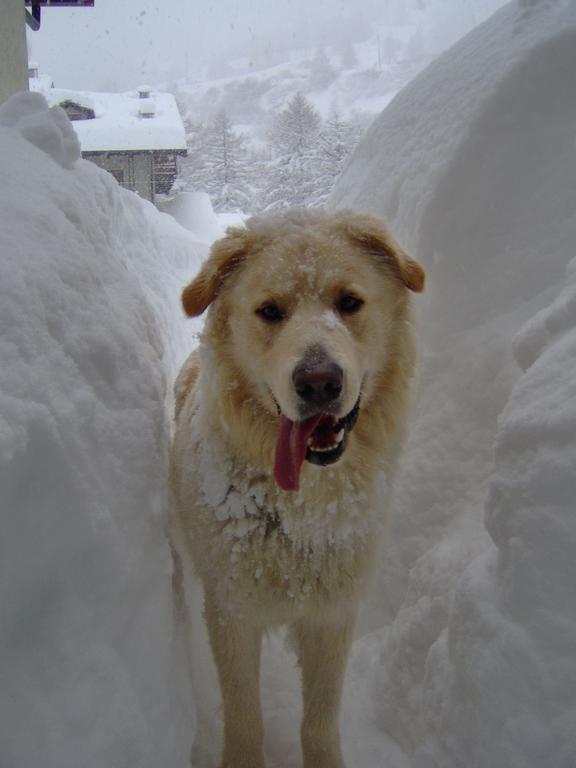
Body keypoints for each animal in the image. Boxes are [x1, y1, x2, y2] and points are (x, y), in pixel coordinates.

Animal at [171, 208, 424, 768]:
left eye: (348, 302)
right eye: (270, 311)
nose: (319, 382)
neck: (300, 509)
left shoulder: (332, 615)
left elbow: (320, 722)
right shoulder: (233, 613)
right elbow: (245, 718)